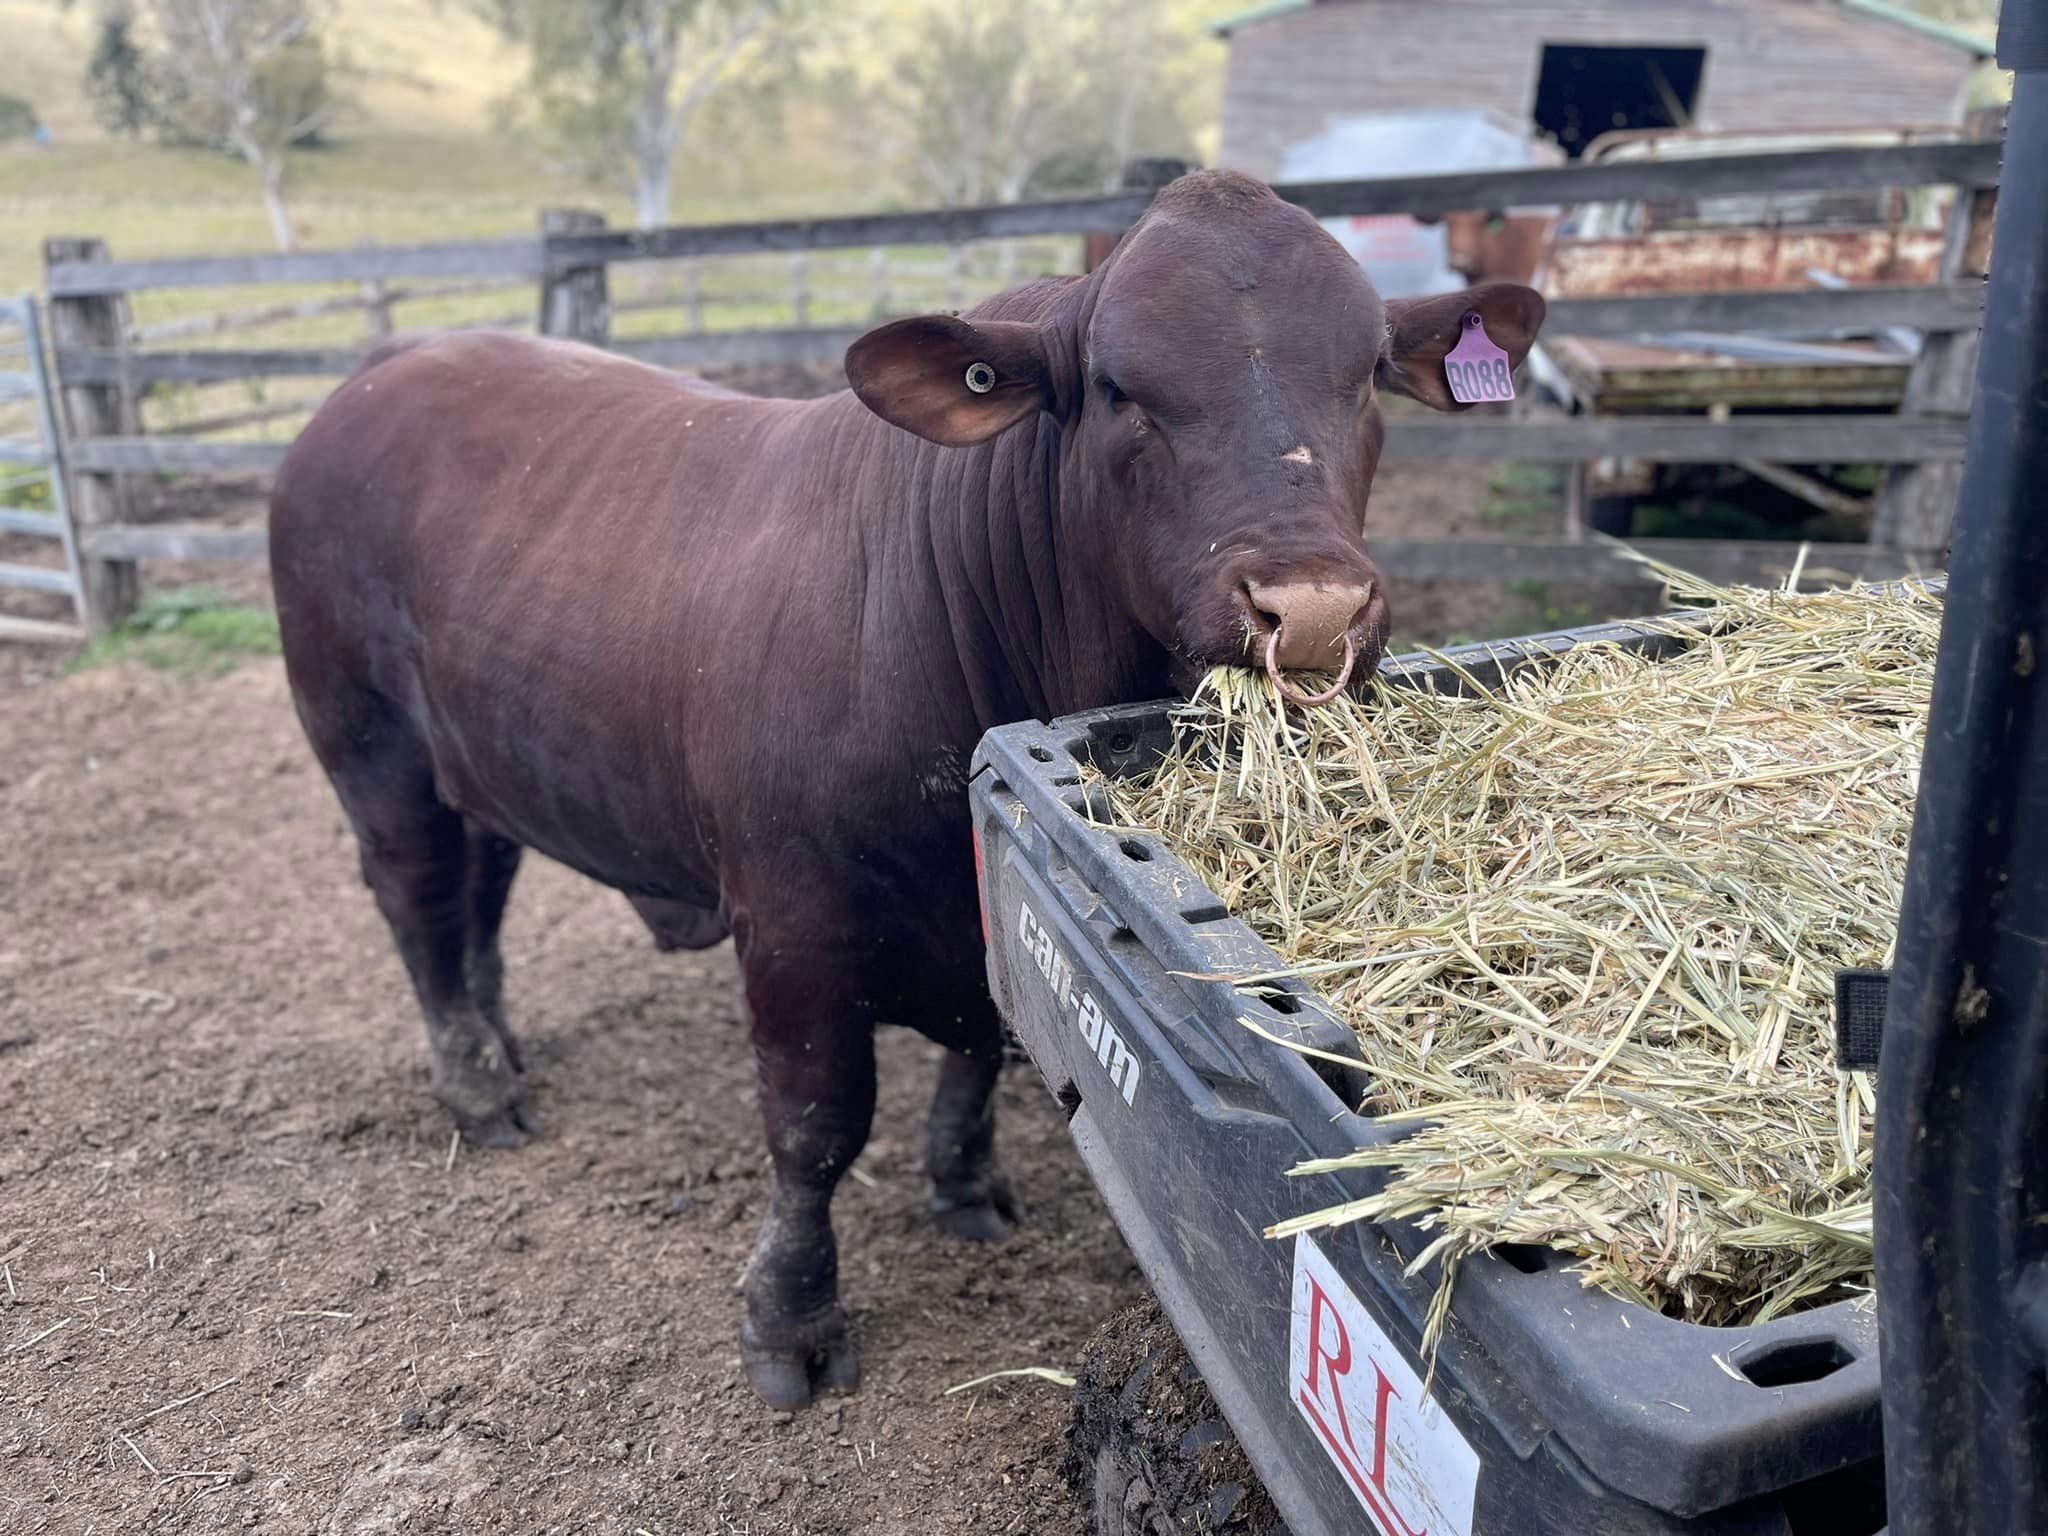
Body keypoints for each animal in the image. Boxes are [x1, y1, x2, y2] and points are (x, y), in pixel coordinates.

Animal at [272, 167, 1540, 1409]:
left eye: (1366, 372)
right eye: (1120, 388)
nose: (1312, 610)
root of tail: (394, 363)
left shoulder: (975, 885)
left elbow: (985, 1046)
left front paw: (963, 1185)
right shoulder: (790, 923)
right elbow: (815, 1125)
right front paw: (790, 1316)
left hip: (476, 750)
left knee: (480, 888)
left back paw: (500, 1046)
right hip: (366, 738)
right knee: (420, 900)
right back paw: (476, 1089)